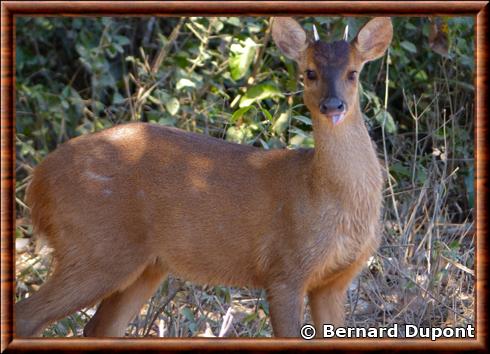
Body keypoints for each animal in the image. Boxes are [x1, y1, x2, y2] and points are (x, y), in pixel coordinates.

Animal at [15, 17, 392, 338]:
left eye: (353, 73)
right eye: (310, 73)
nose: (333, 106)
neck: (321, 191)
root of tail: (38, 181)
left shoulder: (336, 281)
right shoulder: (286, 268)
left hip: (144, 265)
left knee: (97, 328)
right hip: (95, 246)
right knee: (27, 316)